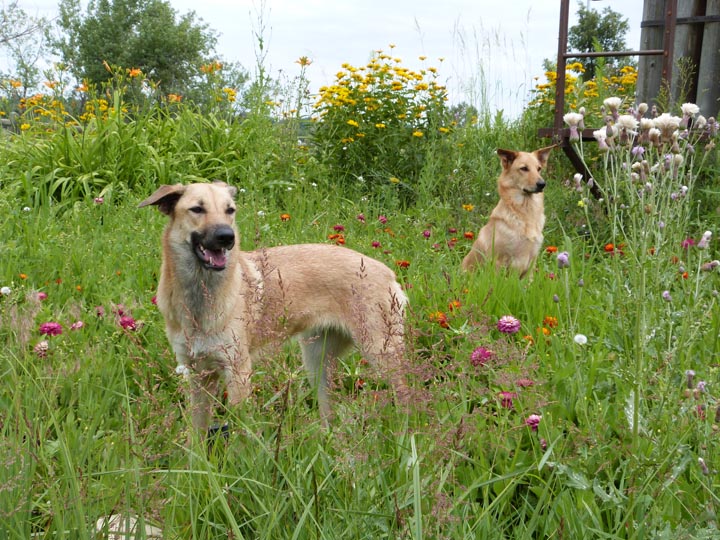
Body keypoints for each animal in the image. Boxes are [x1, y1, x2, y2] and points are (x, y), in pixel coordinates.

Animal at [140, 184, 408, 432]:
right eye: (197, 209)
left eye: (230, 210)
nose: (227, 237)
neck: (199, 297)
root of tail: (387, 272)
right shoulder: (197, 376)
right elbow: (197, 437)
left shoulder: (238, 373)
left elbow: (240, 435)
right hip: (318, 364)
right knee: (329, 416)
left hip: (382, 355)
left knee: (407, 396)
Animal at [462, 144, 556, 278]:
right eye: (524, 168)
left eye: (539, 169)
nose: (542, 184)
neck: (525, 213)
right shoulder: (498, 262)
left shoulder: (531, 264)